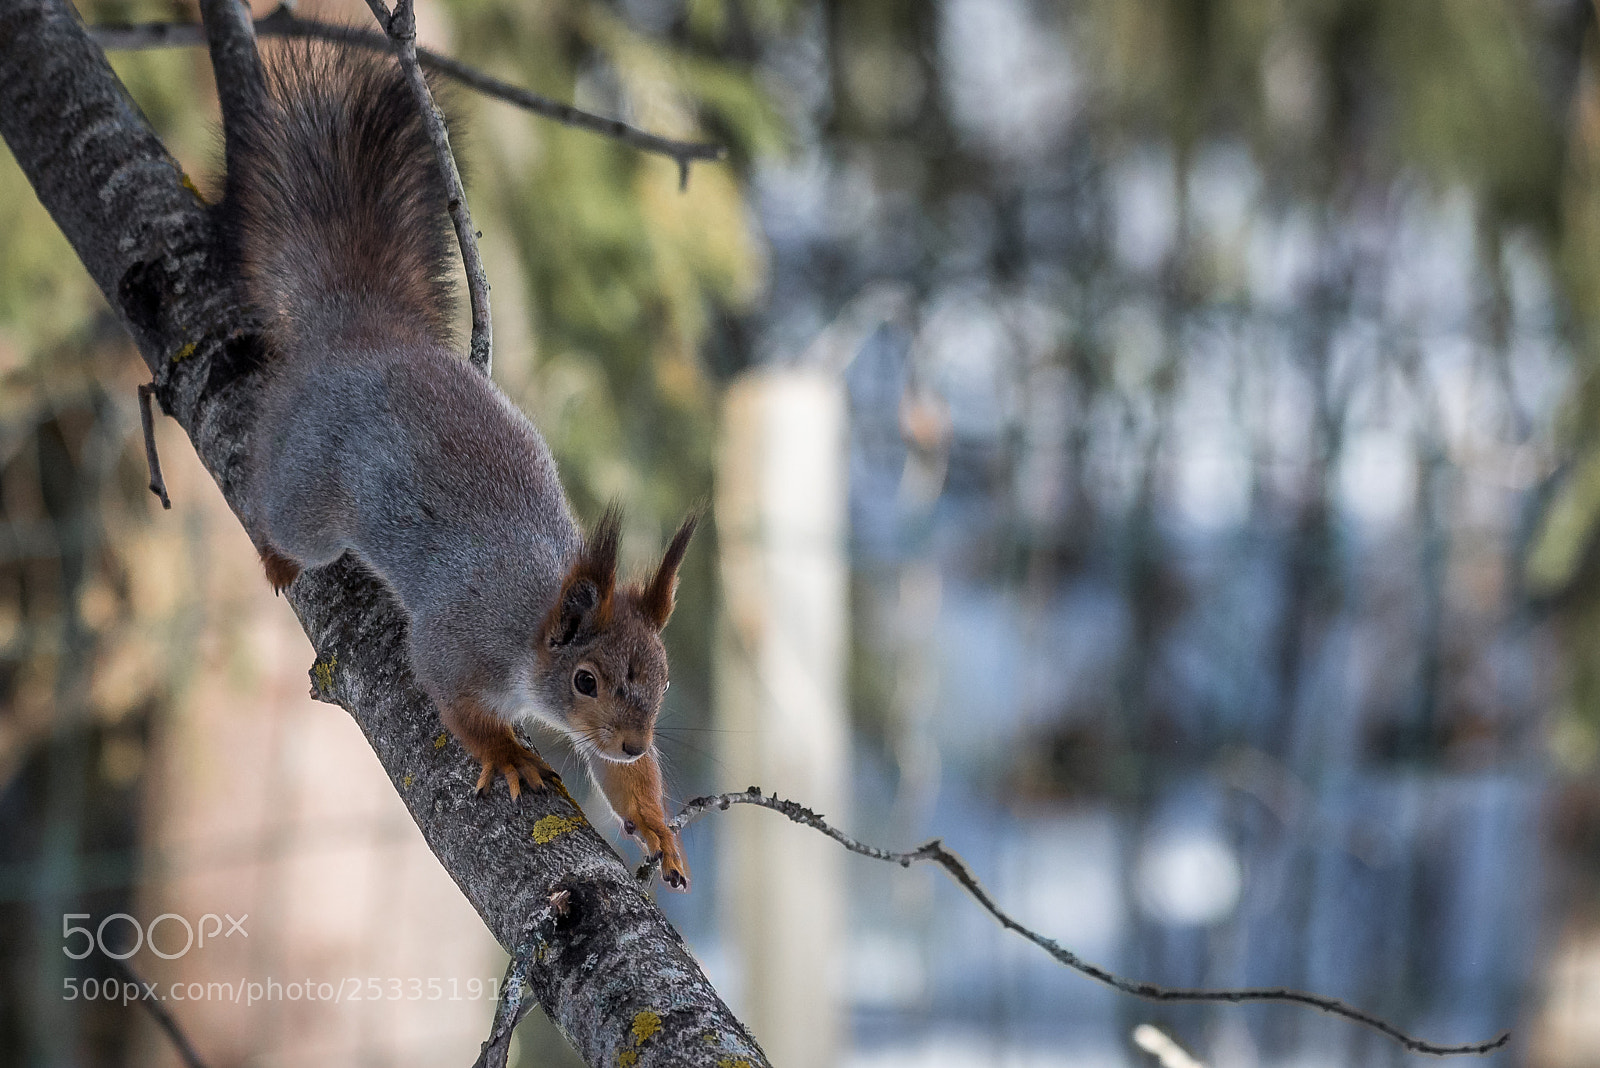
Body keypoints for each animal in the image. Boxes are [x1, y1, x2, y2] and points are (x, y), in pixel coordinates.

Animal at [227, 41, 694, 888]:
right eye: (586, 680)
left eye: (664, 678)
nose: (635, 741)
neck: (534, 622)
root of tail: (365, 328)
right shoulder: (455, 642)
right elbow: (453, 703)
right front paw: (506, 753)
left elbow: (617, 784)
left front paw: (651, 817)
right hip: (312, 494)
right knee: (275, 504)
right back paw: (276, 549)